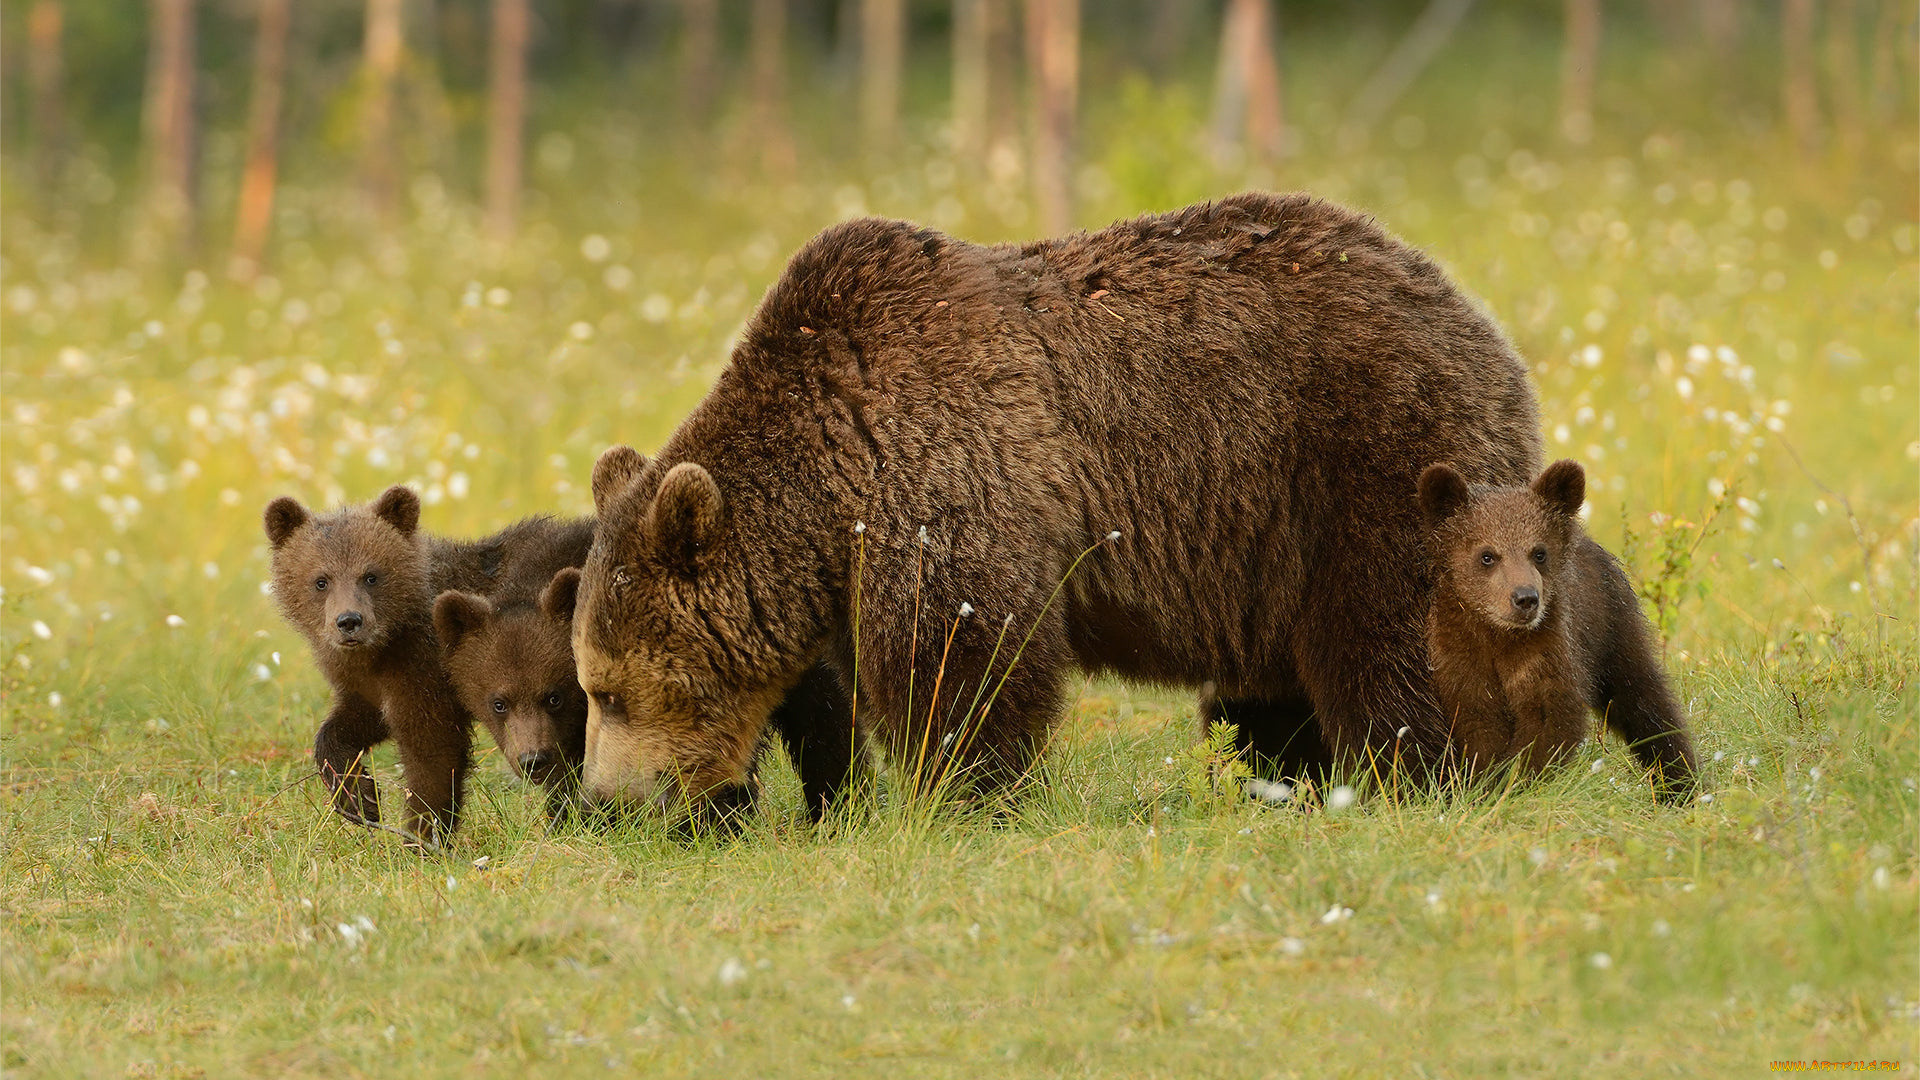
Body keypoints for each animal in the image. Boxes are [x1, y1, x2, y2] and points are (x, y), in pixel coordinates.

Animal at [572, 191, 1543, 814]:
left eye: (606, 691)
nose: (607, 800)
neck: (831, 475)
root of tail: (1482, 325)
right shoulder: (855, 557)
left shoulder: (947, 468)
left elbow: (963, 654)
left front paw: (964, 793)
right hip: (1274, 537)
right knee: (1272, 682)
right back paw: (1282, 778)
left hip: (1370, 456)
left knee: (1390, 634)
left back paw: (1415, 772)